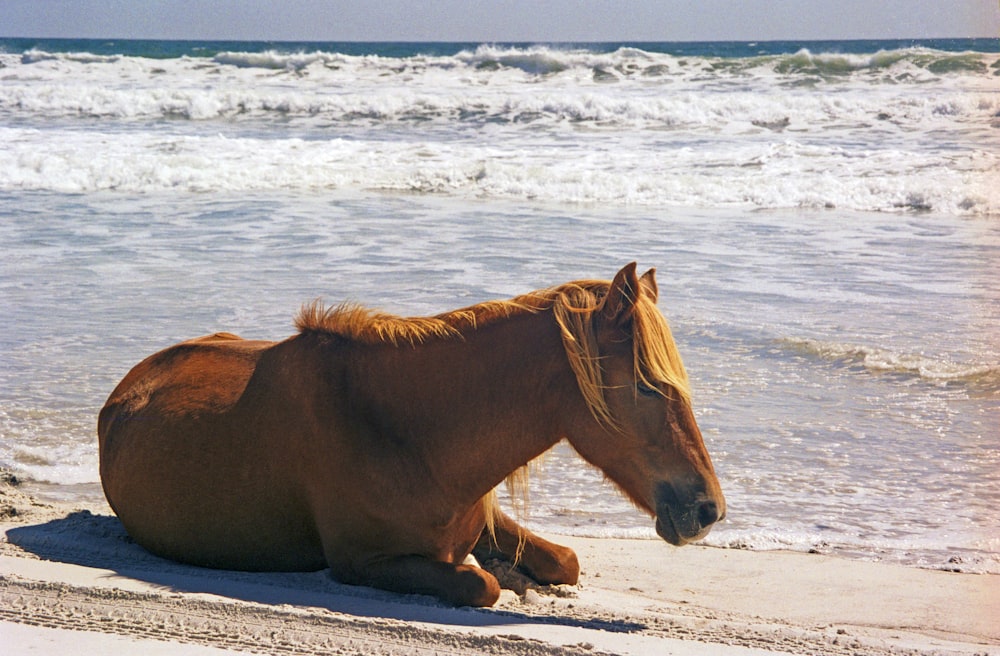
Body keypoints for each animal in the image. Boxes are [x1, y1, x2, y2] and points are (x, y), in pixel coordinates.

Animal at [99, 262, 728, 604]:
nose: (709, 510)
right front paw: (499, 576)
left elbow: (565, 561)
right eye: (647, 385)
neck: (410, 434)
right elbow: (480, 585)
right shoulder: (362, 563)